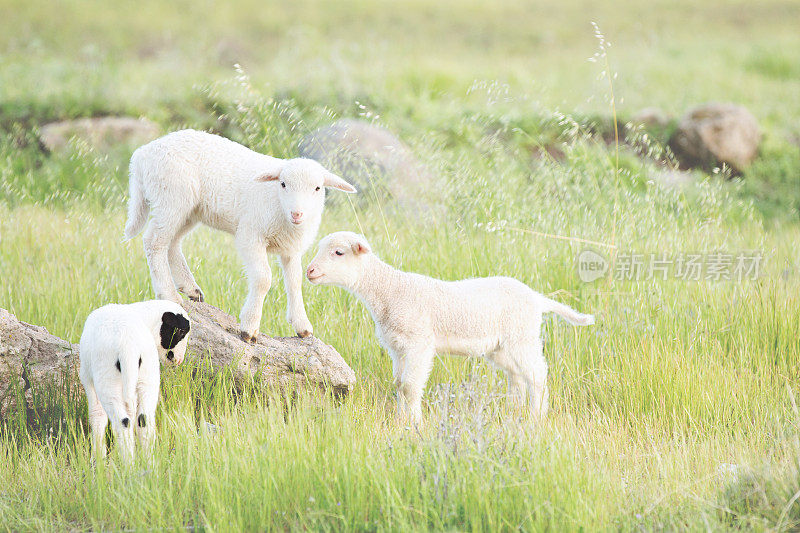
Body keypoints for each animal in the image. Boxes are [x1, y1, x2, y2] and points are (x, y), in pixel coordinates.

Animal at [124, 129, 356, 340]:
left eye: (317, 188)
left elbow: (295, 281)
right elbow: (263, 279)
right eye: (282, 184)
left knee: (172, 242)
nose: (297, 214)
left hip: (189, 209)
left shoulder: (291, 248)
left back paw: (190, 289)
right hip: (171, 196)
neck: (279, 206)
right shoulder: (250, 235)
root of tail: (142, 154)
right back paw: (168, 294)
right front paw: (249, 328)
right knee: (154, 241)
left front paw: (302, 325)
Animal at [306, 231, 592, 422]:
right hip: (500, 346)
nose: (309, 271)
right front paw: (400, 421)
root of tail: (537, 298)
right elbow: (399, 384)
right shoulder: (397, 346)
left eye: (338, 252)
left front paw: (415, 425)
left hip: (522, 336)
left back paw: (536, 417)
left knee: (537, 374)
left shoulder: (419, 343)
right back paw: (513, 411)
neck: (390, 290)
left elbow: (410, 386)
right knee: (517, 375)